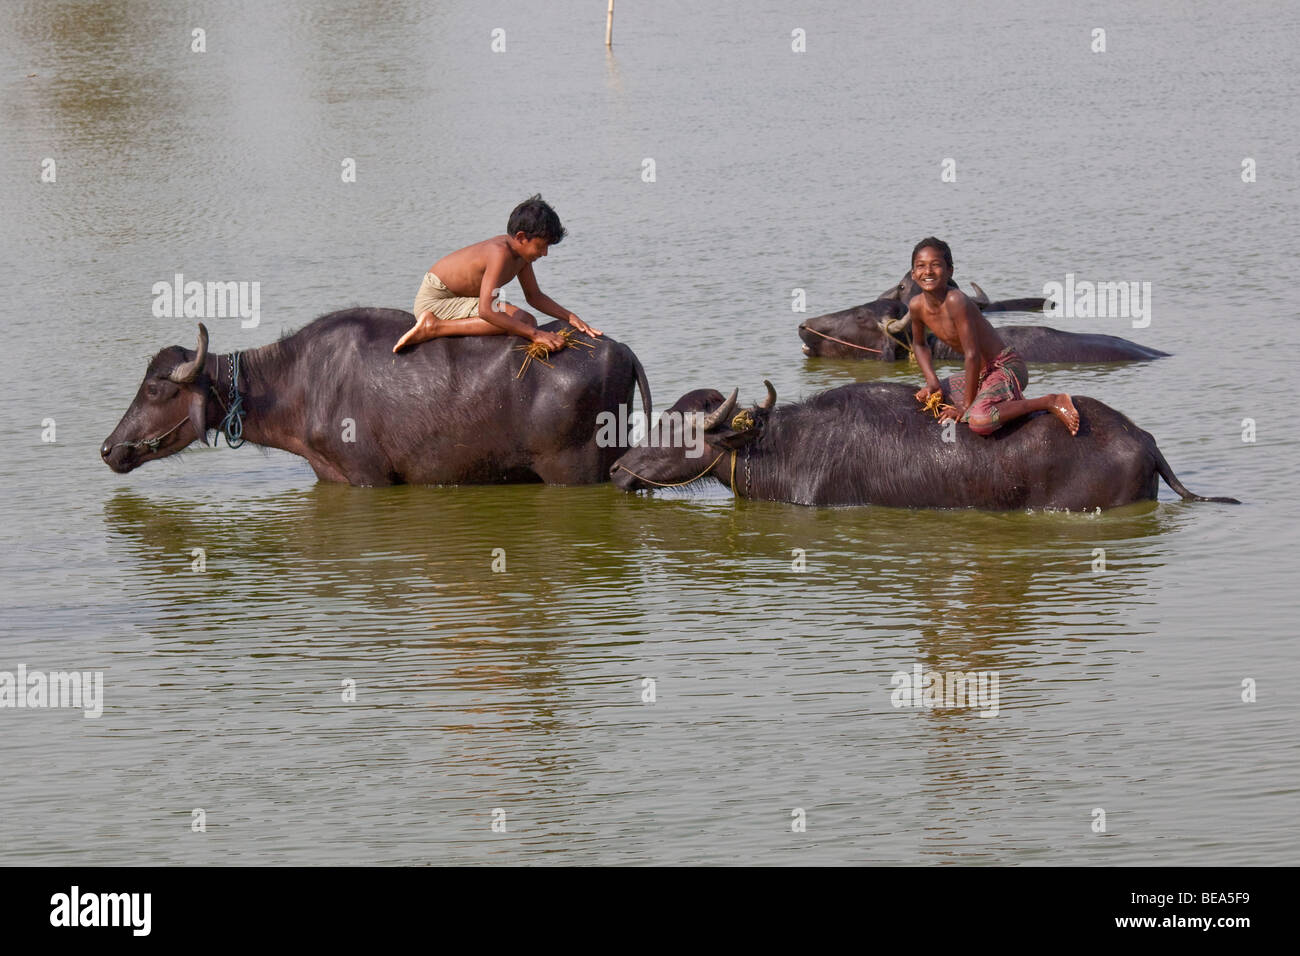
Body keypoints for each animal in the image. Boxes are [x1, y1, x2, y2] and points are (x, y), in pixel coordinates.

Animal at [100, 308, 650, 486]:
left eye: (154, 389)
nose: (108, 448)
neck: (298, 383)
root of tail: (620, 349)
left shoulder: (368, 477)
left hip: (574, 472)